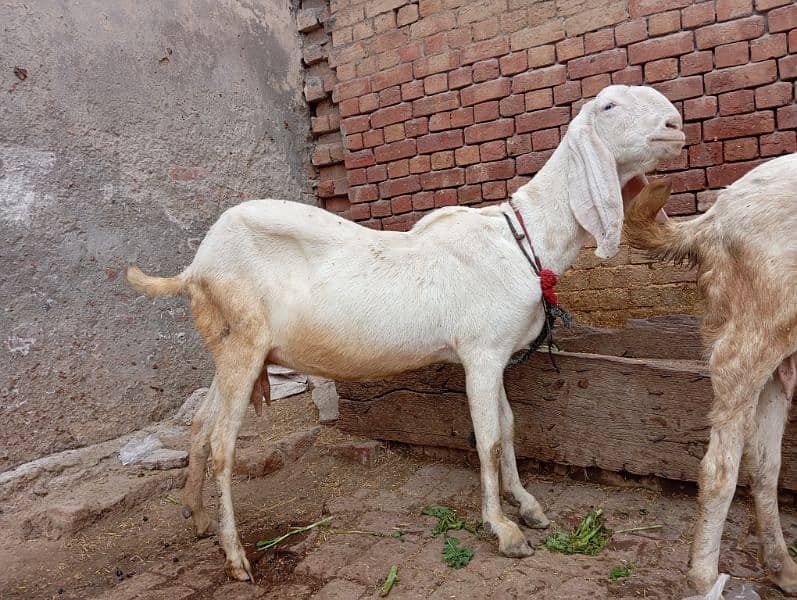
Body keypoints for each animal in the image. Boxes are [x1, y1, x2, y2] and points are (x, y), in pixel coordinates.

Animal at [126, 85, 684, 580]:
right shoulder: (481, 353)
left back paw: (199, 519)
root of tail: (195, 267)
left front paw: (527, 505)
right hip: (242, 342)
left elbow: (507, 428)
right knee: (223, 445)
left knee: (200, 428)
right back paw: (236, 557)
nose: (675, 124)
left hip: (227, 347)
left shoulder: (496, 354)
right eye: (609, 106)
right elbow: (487, 439)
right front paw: (504, 530)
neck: (522, 239)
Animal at [624, 156, 792, 596]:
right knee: (719, 467)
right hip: (758, 329)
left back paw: (784, 569)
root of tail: (716, 218)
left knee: (764, 463)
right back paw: (703, 578)